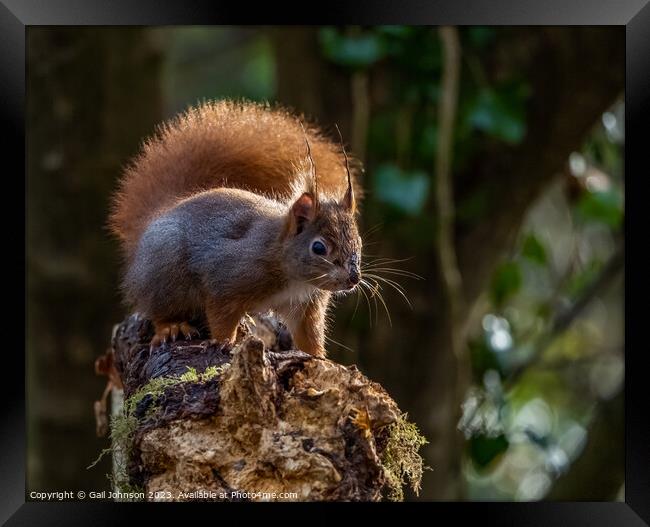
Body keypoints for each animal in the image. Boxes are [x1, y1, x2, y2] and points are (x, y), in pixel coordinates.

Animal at [109, 100, 362, 356]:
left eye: (359, 243)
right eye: (318, 248)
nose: (354, 278)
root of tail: (157, 217)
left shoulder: (306, 307)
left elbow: (309, 336)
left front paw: (320, 357)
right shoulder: (226, 278)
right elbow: (220, 315)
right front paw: (224, 342)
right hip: (166, 274)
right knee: (158, 309)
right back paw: (172, 326)